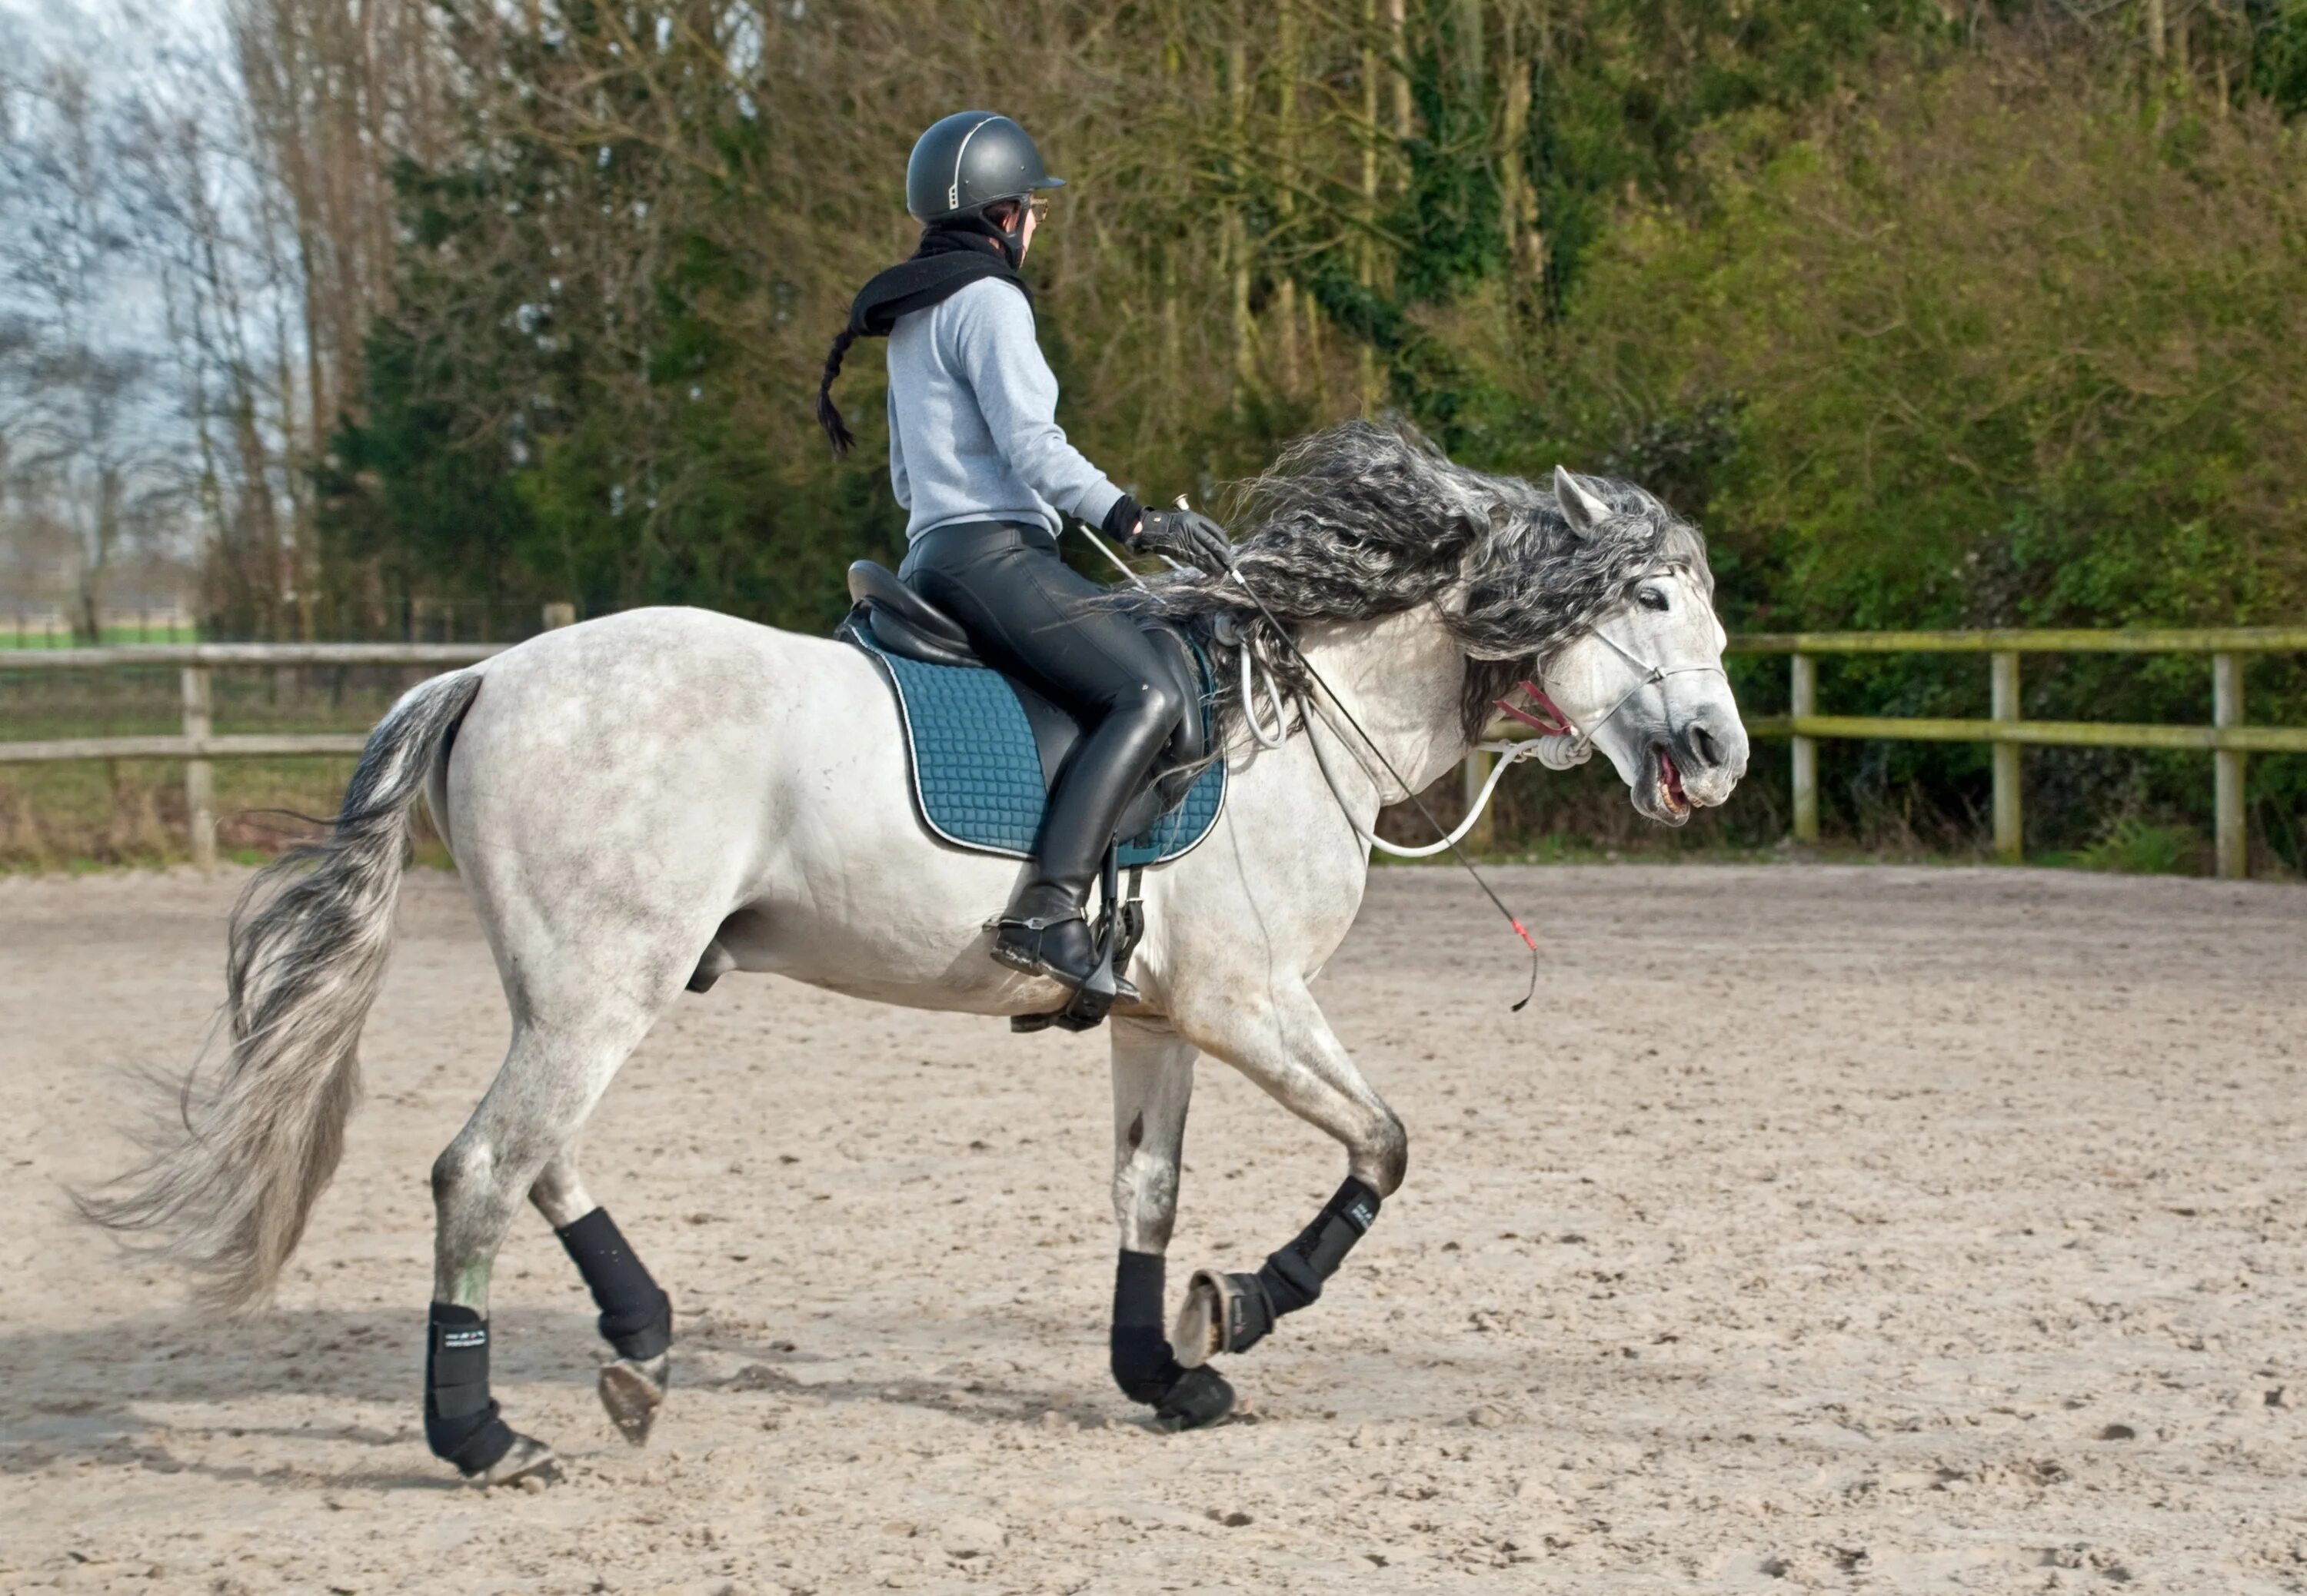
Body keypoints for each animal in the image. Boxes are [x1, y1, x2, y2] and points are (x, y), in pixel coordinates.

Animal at [85, 420, 1744, 1485]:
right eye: (1656, 598)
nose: (1722, 754)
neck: (1298, 717)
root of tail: (488, 673)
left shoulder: (1161, 1017)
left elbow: (1147, 1194)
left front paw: (1165, 1370)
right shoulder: (1251, 1002)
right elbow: (1387, 1147)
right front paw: (1250, 1303)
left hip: (577, 988)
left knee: (539, 1159)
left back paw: (640, 1344)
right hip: (604, 987)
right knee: (483, 1168)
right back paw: (484, 1437)